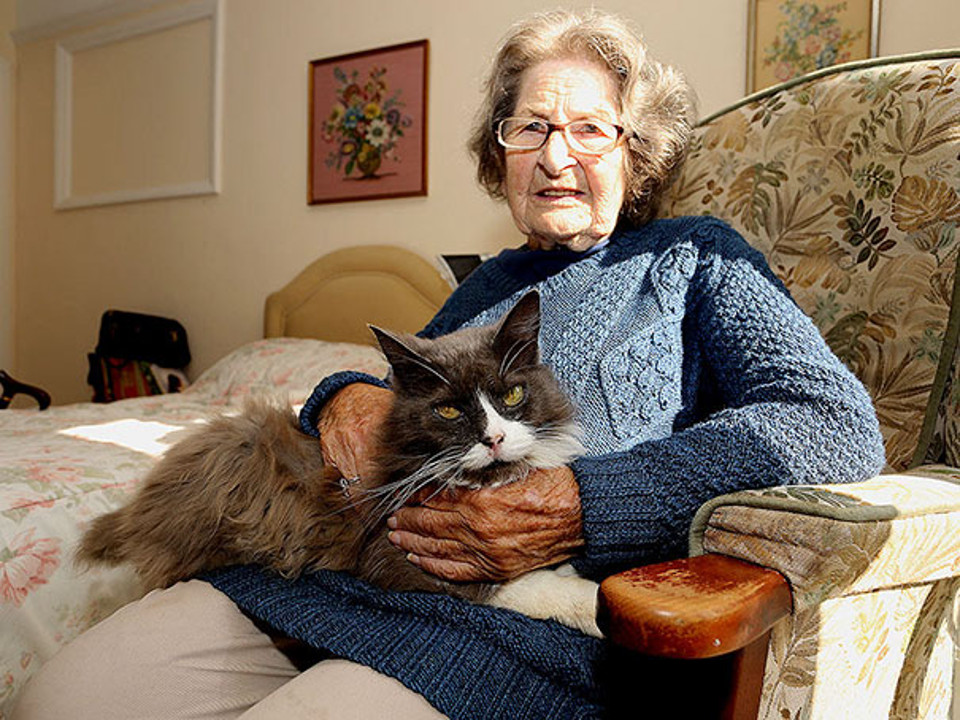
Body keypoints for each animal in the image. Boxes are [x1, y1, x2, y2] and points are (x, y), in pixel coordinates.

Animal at [77, 292, 600, 636]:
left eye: (512, 395)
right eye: (449, 411)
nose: (494, 438)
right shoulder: (398, 555)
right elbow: (519, 586)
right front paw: (589, 602)